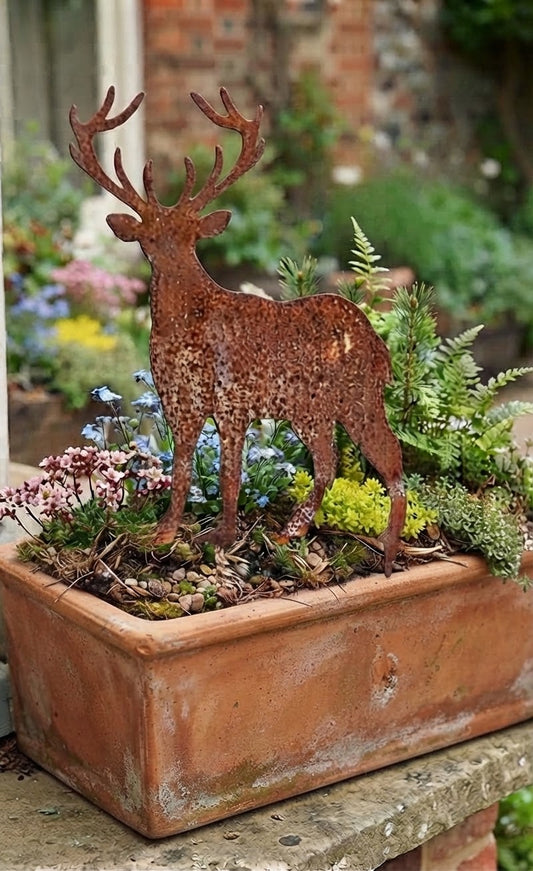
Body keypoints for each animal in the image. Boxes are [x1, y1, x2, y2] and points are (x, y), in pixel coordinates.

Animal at [69, 85, 406, 576]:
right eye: (148, 238)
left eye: (190, 237)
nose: (169, 264)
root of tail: (380, 348)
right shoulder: (179, 400)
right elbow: (182, 466)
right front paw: (164, 534)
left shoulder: (233, 398)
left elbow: (231, 473)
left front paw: (222, 539)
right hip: (314, 410)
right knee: (331, 464)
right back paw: (292, 531)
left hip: (351, 399)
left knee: (387, 455)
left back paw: (388, 554)